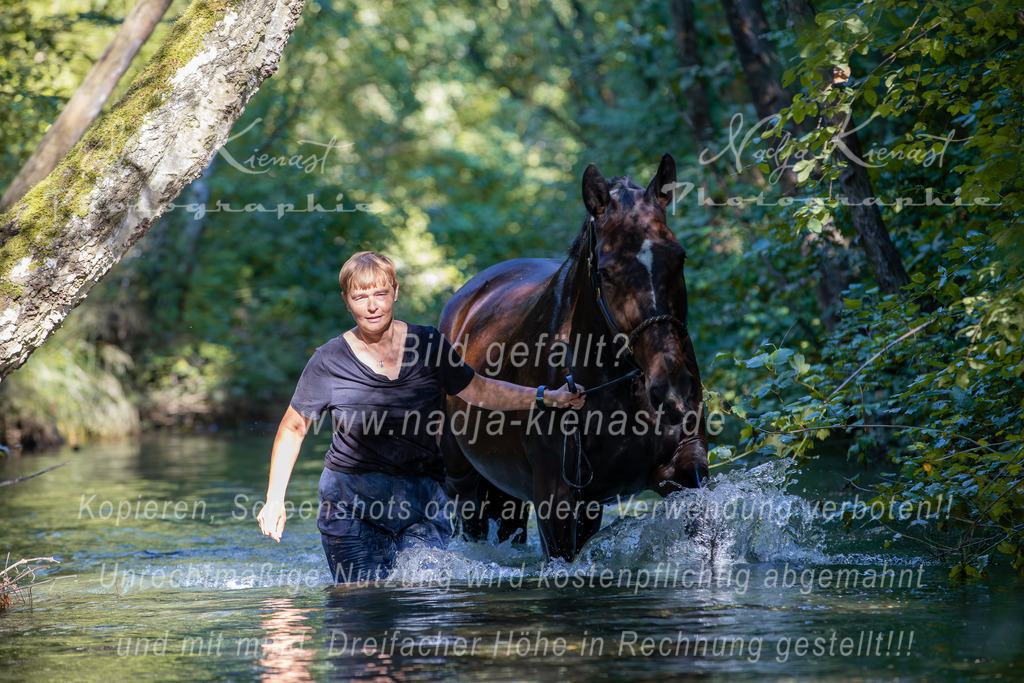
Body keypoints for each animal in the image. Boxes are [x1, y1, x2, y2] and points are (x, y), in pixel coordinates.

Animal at [439, 153, 708, 561]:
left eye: (679, 257)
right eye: (606, 272)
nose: (674, 390)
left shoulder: (684, 468)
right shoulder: (557, 500)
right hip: (465, 483)